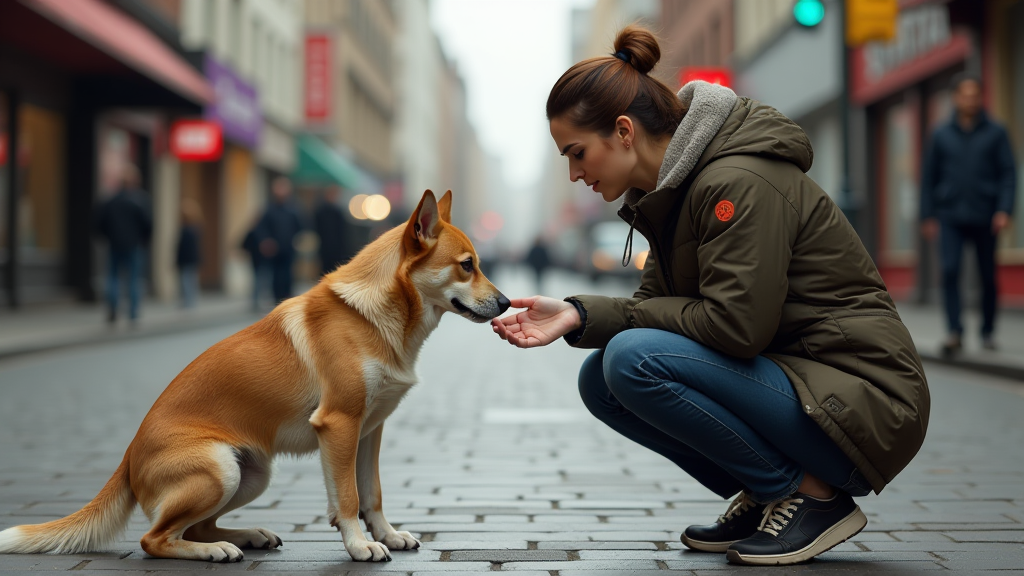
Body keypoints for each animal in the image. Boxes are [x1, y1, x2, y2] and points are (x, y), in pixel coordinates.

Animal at [0, 188, 509, 561]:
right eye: (467, 266)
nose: (506, 303)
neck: (376, 316)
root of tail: (126, 457)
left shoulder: (370, 430)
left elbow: (372, 494)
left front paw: (386, 534)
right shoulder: (339, 425)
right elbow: (347, 498)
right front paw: (360, 545)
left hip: (253, 474)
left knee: (197, 526)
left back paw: (246, 536)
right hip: (219, 470)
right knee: (155, 539)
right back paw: (216, 551)